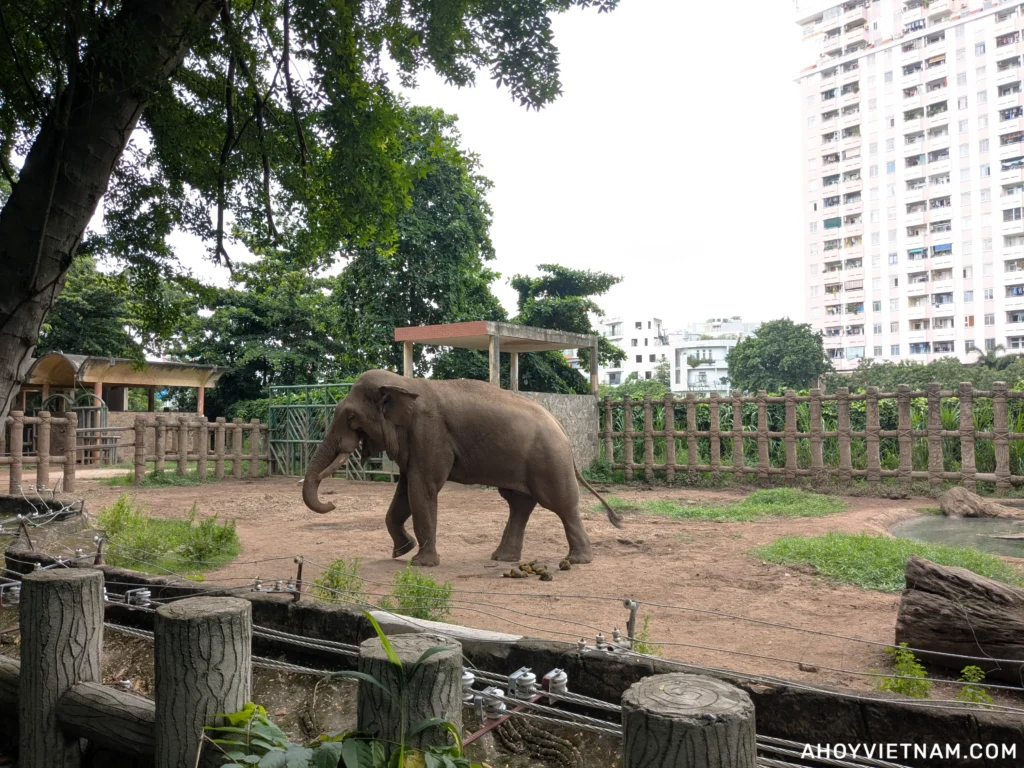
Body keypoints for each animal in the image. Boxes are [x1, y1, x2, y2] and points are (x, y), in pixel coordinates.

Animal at [301, 369, 622, 567]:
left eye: (351, 418)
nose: (331, 502)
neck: (404, 382)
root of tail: (563, 428)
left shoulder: (430, 433)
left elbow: (422, 488)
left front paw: (421, 564)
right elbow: (404, 492)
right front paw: (402, 551)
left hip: (549, 459)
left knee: (560, 503)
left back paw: (577, 560)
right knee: (519, 503)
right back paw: (502, 558)